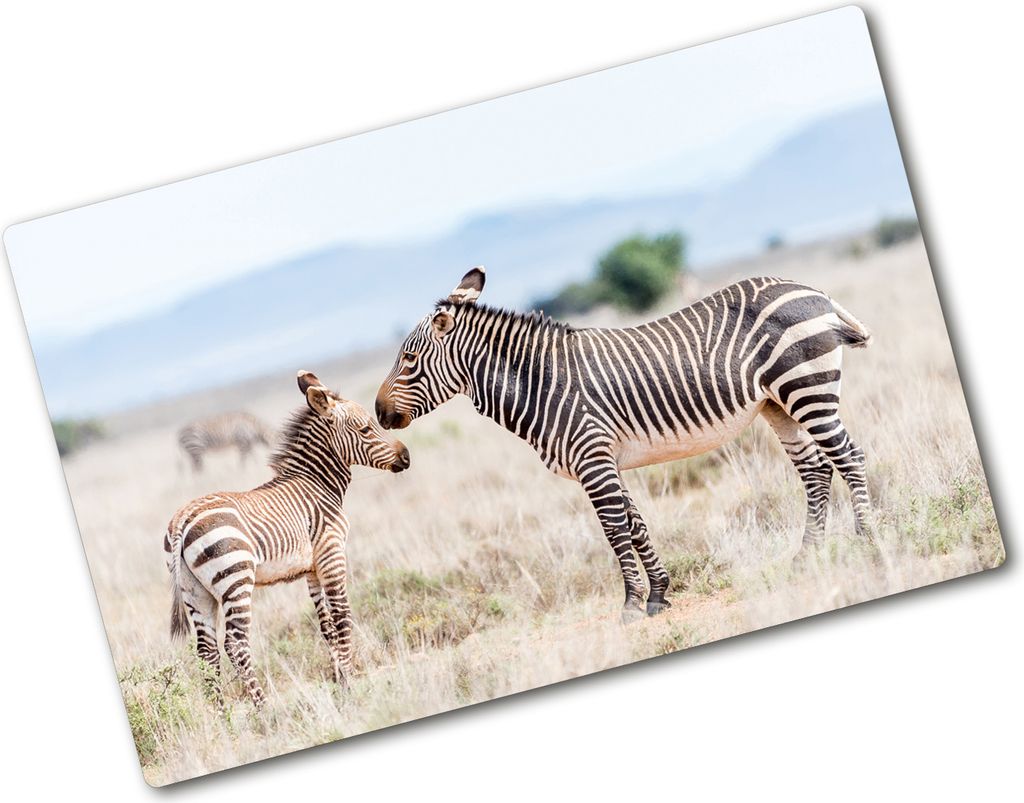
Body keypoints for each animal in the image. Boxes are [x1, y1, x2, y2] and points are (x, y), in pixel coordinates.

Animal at [164, 371, 410, 707]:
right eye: (365, 429)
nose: (406, 457)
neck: (316, 482)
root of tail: (183, 518)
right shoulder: (332, 554)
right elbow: (342, 617)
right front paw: (351, 684)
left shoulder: (312, 568)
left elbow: (326, 625)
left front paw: (339, 680)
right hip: (235, 579)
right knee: (235, 644)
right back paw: (264, 708)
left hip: (195, 591)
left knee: (207, 651)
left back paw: (220, 715)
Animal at [375, 267, 872, 622]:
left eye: (409, 359)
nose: (379, 414)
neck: (541, 383)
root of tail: (811, 289)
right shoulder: (603, 460)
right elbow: (635, 525)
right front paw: (658, 595)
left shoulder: (592, 457)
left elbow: (615, 531)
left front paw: (632, 604)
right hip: (777, 404)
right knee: (815, 469)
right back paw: (807, 555)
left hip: (807, 388)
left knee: (849, 457)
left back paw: (866, 539)